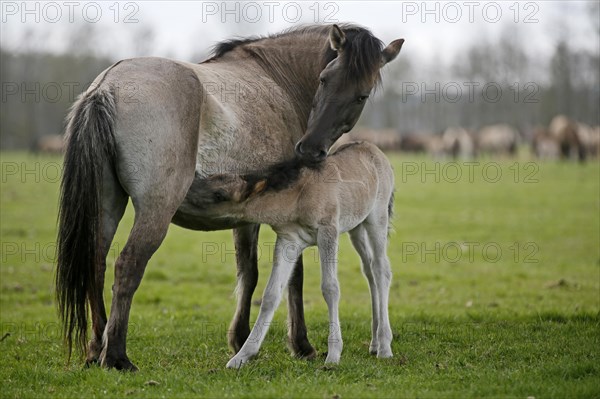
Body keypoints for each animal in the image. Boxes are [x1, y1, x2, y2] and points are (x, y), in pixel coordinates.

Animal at [195, 142, 396, 370]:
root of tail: (376, 150)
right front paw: (241, 356)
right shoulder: (289, 240)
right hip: (356, 227)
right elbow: (271, 294)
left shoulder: (328, 231)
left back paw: (384, 347)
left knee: (381, 269)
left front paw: (333, 354)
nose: (190, 188)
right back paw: (374, 343)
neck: (298, 198)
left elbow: (330, 288)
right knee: (369, 270)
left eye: (219, 194)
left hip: (377, 217)